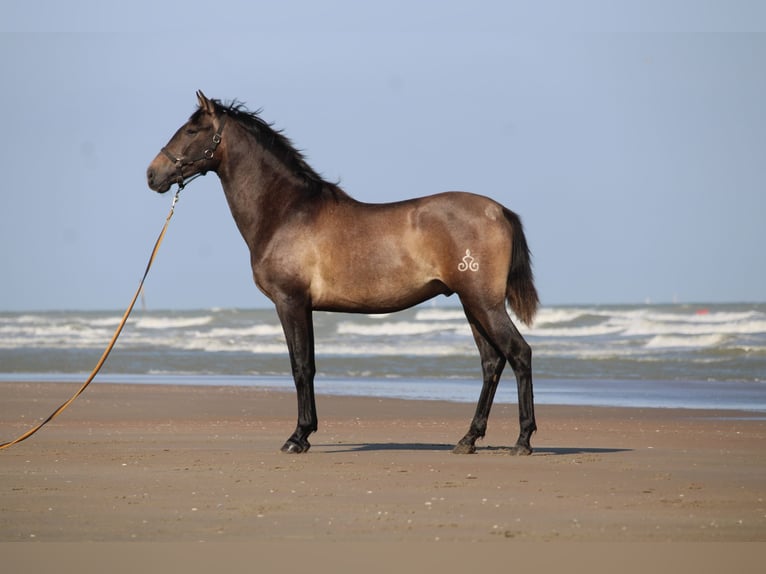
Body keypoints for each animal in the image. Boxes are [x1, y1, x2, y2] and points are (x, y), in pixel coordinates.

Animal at [147, 91, 540, 455]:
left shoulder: (290, 303)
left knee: (519, 354)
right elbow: (307, 365)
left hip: (484, 303)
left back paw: (523, 440)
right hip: (471, 304)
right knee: (491, 362)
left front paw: (298, 437)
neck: (287, 212)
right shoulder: (302, 306)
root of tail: (499, 211)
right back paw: (468, 438)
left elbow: (301, 367)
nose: (152, 174)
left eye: (191, 130)